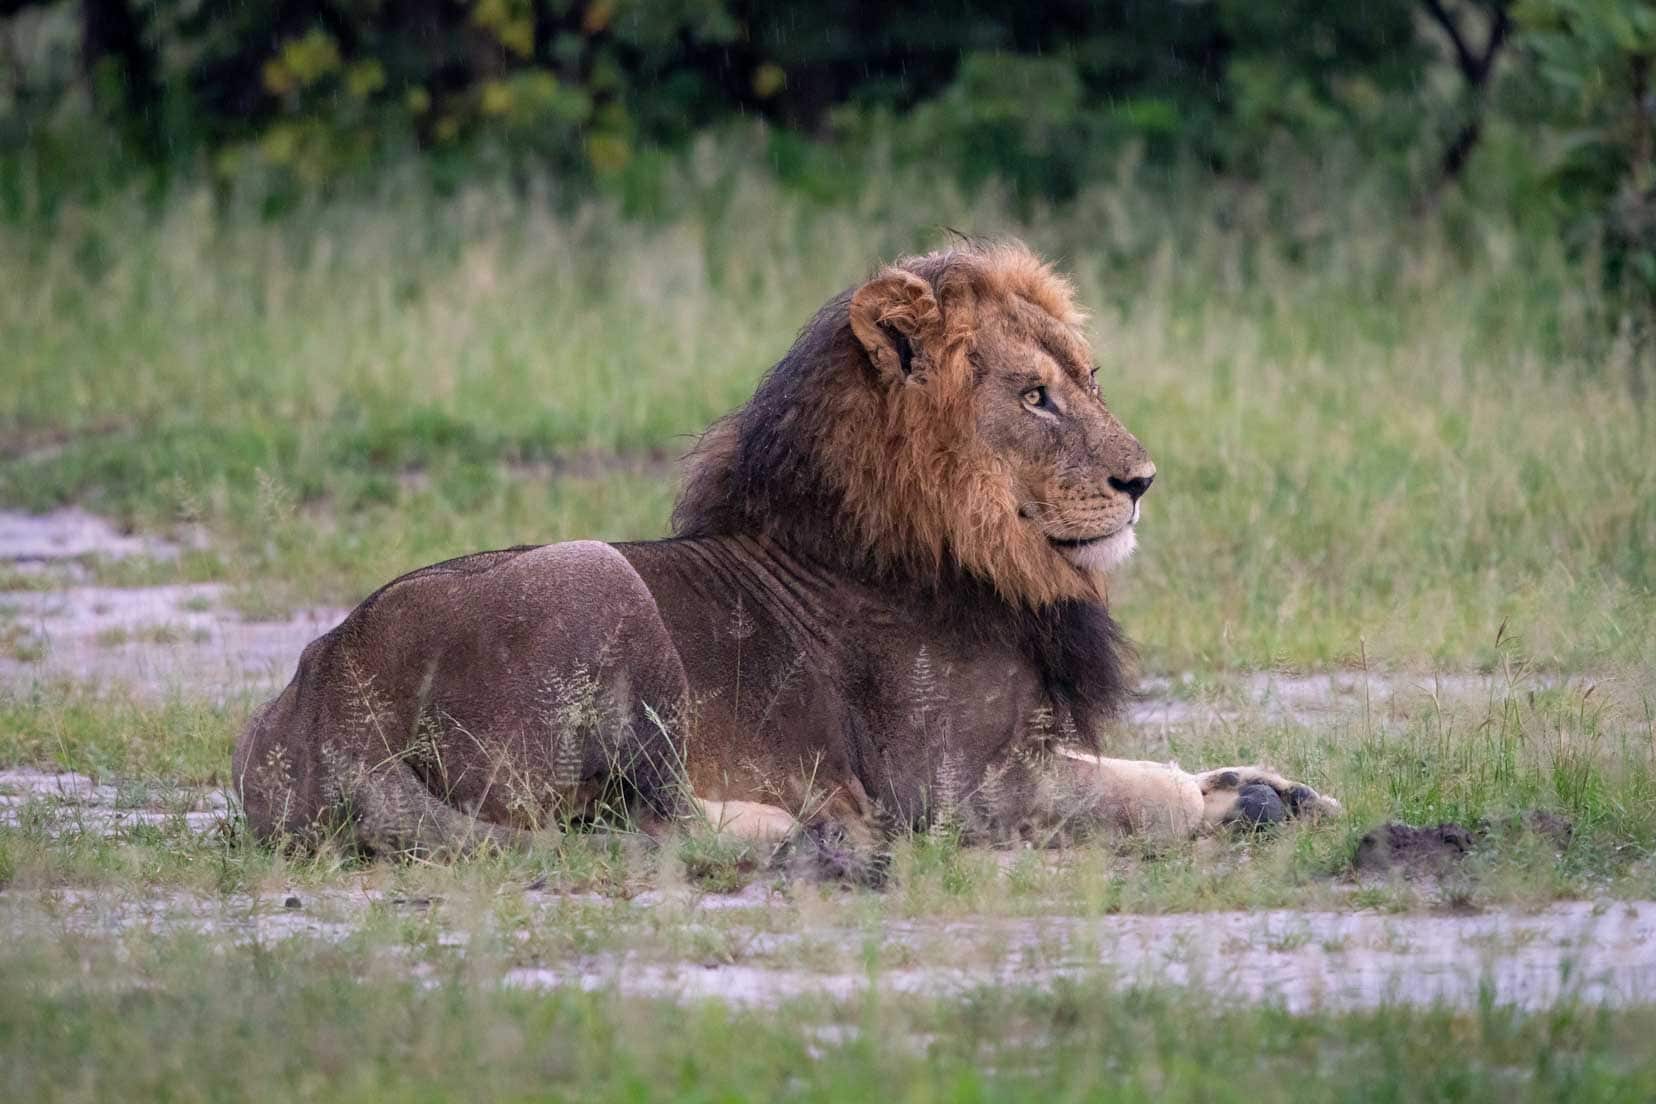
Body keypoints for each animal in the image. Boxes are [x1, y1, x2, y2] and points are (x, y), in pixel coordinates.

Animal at [233, 241, 1338, 860]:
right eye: (1034, 396)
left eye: (1089, 379)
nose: (1142, 481)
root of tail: (320, 704)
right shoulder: (957, 789)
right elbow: (1128, 793)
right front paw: (1235, 806)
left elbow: (1152, 766)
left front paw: (1270, 789)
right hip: (597, 581)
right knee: (639, 821)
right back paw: (802, 832)